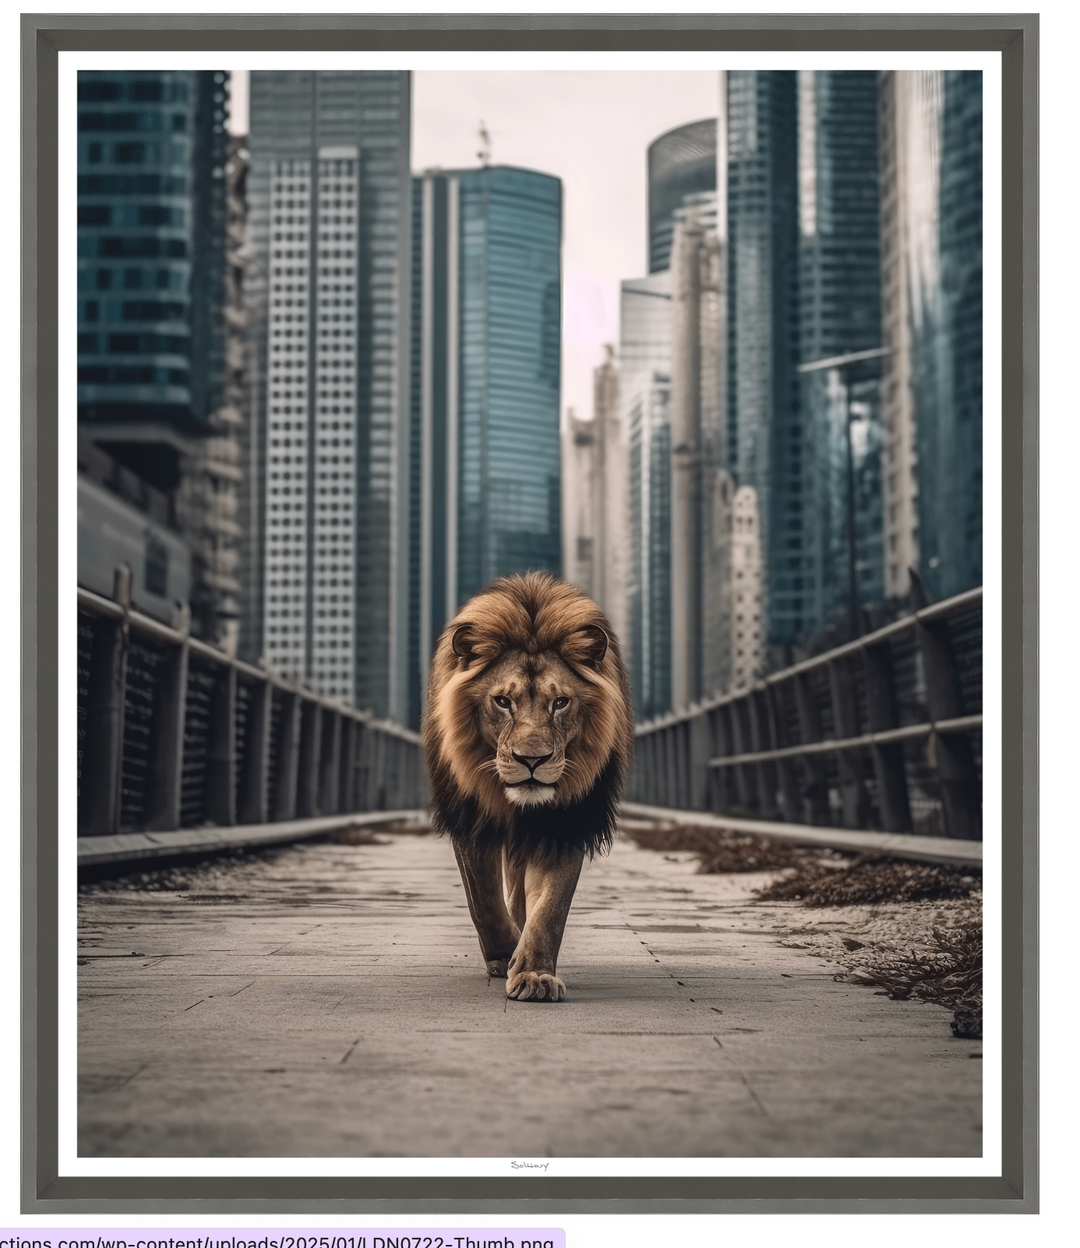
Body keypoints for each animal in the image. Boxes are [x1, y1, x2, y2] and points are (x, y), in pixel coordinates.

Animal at [423, 571, 634, 1002]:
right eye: (503, 702)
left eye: (561, 703)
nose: (532, 761)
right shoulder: (472, 816)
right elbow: (484, 899)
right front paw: (505, 954)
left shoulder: (564, 822)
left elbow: (550, 908)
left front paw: (534, 973)